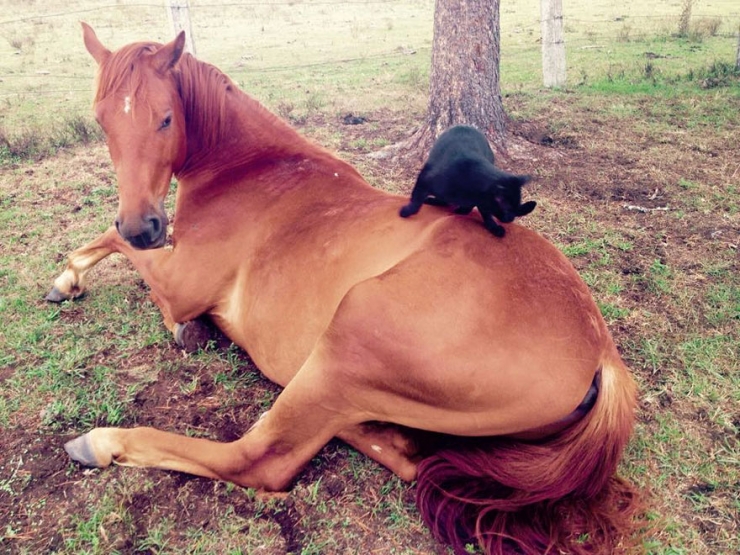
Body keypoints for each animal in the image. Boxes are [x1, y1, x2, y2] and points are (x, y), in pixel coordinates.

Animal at [49, 24, 640, 555]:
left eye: (166, 118)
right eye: (101, 120)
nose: (143, 224)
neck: (251, 170)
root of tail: (602, 354)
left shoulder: (178, 281)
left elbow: (124, 255)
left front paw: (83, 281)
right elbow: (112, 241)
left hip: (348, 340)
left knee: (260, 458)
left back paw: (102, 441)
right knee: (403, 454)